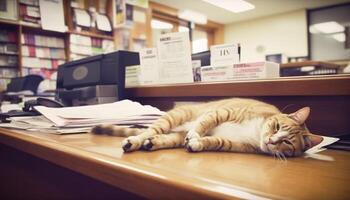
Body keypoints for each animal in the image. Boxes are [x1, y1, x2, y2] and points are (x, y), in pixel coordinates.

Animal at [91, 97, 324, 157]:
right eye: (276, 126)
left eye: (287, 143)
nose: (270, 140)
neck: (256, 131)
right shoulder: (223, 112)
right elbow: (205, 123)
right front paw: (196, 134)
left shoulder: (236, 145)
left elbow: (215, 141)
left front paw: (197, 144)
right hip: (177, 116)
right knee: (151, 130)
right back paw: (135, 141)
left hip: (175, 135)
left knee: (165, 137)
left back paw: (152, 143)